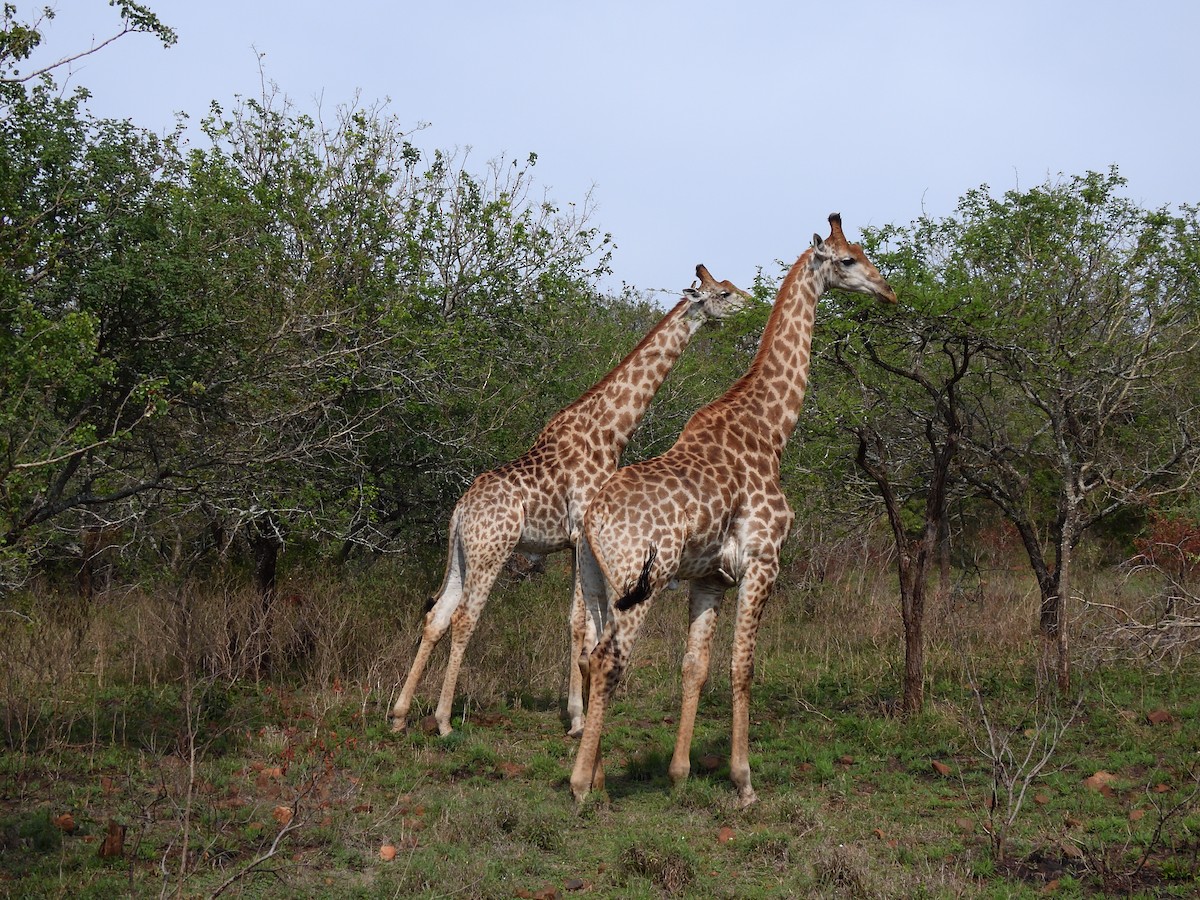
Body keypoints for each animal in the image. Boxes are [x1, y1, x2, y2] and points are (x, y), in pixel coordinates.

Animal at [389, 265, 751, 737]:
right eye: (723, 293)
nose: (751, 305)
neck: (610, 431)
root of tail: (460, 511)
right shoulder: (581, 532)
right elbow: (581, 622)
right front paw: (578, 717)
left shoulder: (579, 542)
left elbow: (586, 621)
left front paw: (580, 709)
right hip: (492, 551)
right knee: (465, 618)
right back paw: (445, 721)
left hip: (462, 553)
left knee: (437, 616)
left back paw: (399, 715)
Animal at [569, 214, 897, 806]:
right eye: (847, 260)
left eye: (863, 252)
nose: (888, 291)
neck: (771, 427)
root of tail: (591, 520)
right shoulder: (764, 560)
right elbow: (742, 667)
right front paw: (743, 781)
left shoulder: (710, 576)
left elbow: (695, 666)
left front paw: (679, 772)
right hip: (639, 583)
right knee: (609, 660)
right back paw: (582, 785)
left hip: (596, 580)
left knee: (590, 652)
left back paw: (600, 777)